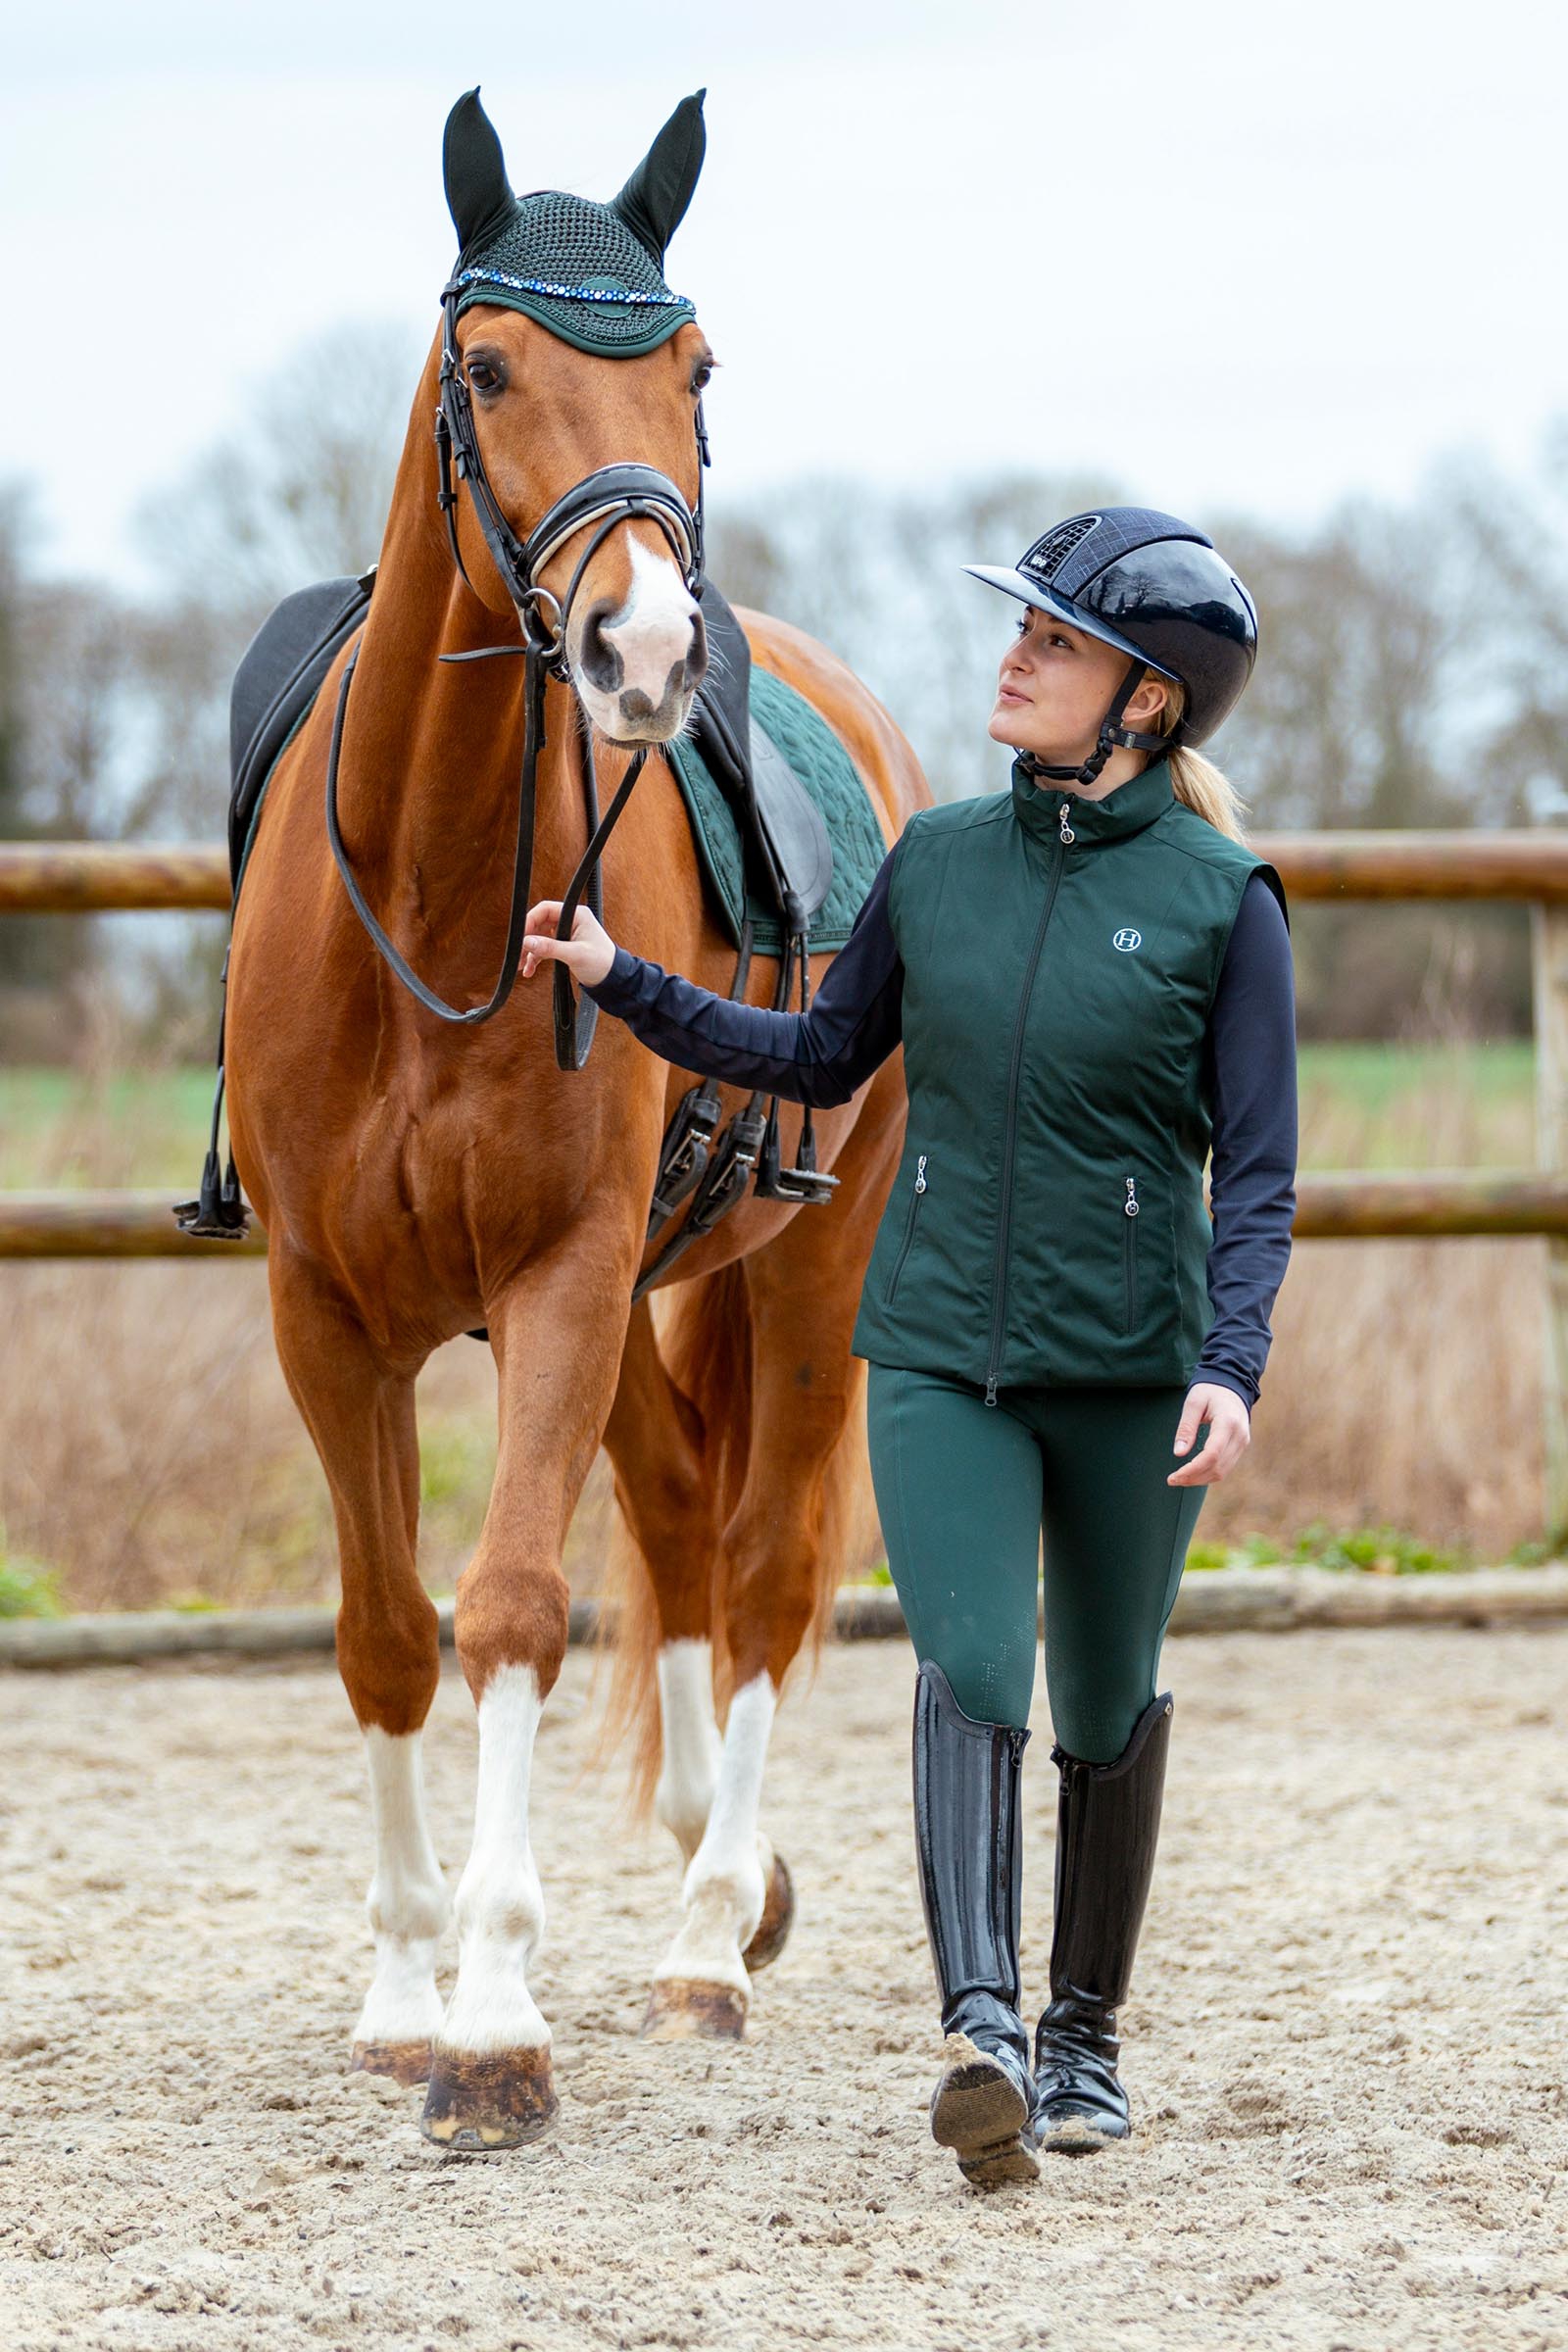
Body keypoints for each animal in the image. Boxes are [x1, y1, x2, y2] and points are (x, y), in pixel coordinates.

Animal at [224, 86, 927, 2149]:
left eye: (694, 369)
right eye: (487, 367)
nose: (643, 653)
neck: (437, 890)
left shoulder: (555, 1272)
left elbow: (517, 1604)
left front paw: (491, 2020)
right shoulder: (326, 1313)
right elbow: (385, 1629)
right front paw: (402, 1984)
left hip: (801, 1274)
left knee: (762, 1564)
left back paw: (707, 1939)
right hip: (630, 1302)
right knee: (687, 1525)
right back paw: (719, 1874)